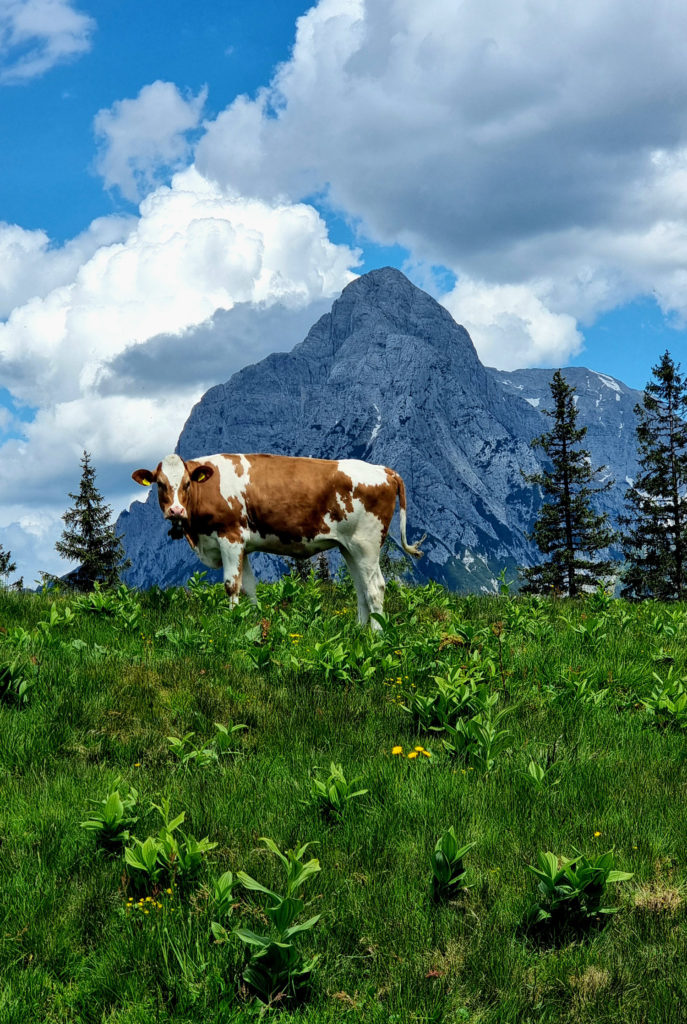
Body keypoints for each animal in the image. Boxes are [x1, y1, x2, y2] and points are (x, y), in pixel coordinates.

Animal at [132, 454, 423, 626]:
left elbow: (231, 585)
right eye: (160, 484)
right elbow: (249, 586)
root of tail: (384, 470)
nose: (175, 510)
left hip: (367, 543)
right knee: (361, 589)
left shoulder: (230, 537)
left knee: (376, 588)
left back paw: (376, 636)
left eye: (186, 484)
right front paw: (251, 620)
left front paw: (232, 621)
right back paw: (360, 632)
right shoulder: (242, 546)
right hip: (349, 547)